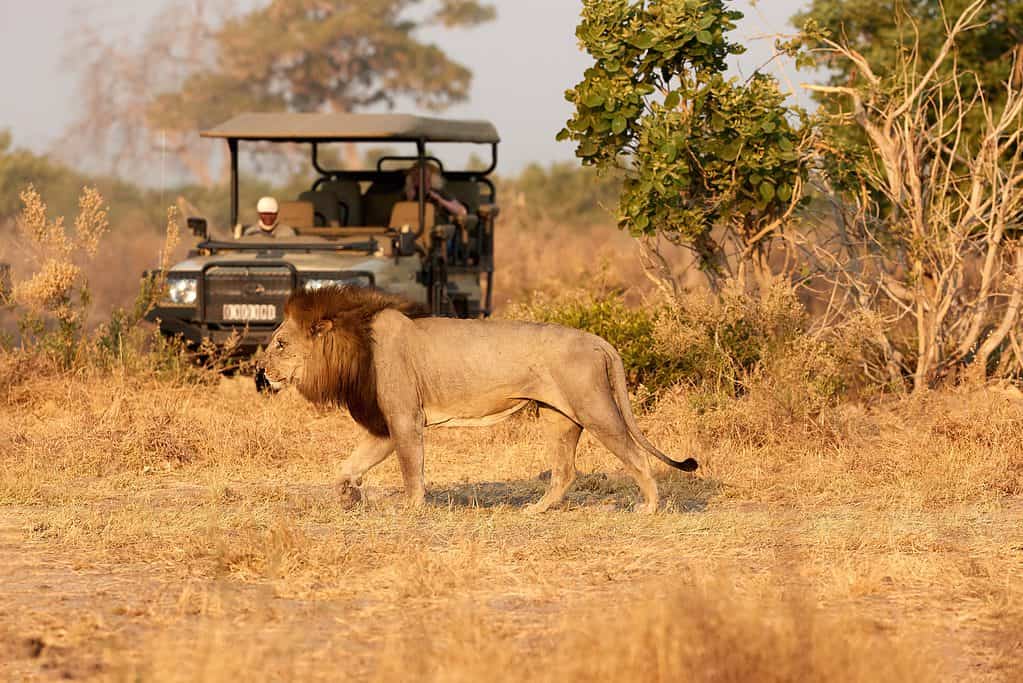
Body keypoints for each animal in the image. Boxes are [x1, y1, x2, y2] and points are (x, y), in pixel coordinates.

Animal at [259, 286, 699, 515]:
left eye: (280, 344)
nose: (261, 370)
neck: (355, 344)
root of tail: (599, 340)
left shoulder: (403, 418)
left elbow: (410, 469)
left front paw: (411, 508)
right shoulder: (383, 425)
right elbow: (347, 466)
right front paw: (348, 495)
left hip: (595, 409)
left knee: (636, 456)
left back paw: (649, 508)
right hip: (559, 417)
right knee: (564, 471)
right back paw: (535, 510)